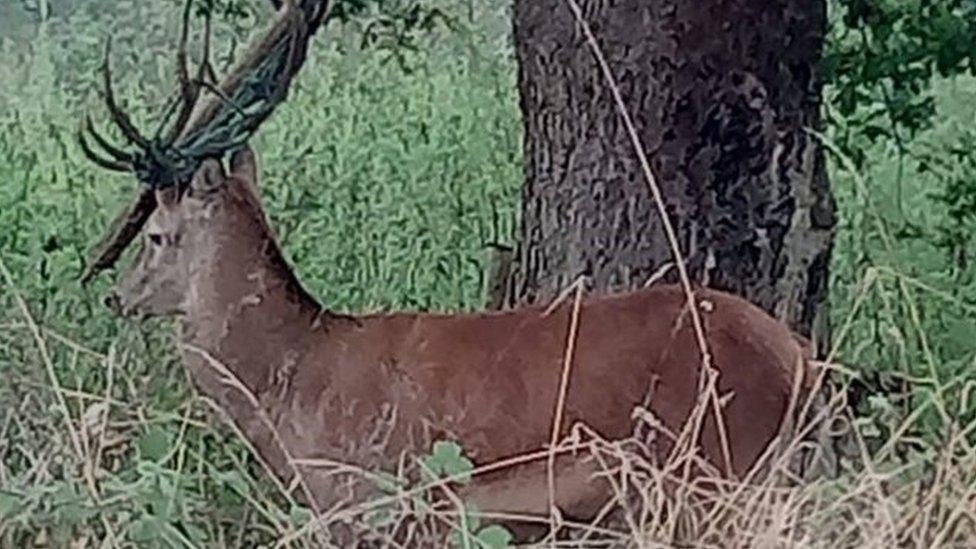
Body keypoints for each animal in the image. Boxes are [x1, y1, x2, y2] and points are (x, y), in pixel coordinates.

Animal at [80, 0, 816, 540]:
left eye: (157, 236)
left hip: (714, 470)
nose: (116, 296)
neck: (295, 393)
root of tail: (799, 355)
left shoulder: (376, 496)